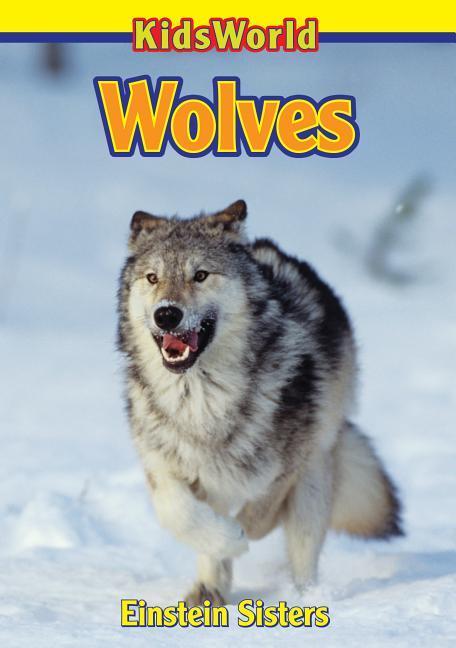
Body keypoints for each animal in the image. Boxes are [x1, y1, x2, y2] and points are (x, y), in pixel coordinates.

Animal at [118, 199, 402, 605]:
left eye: (200, 275)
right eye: (153, 278)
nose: (167, 313)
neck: (202, 399)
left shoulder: (288, 468)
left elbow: (259, 517)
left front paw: (238, 535)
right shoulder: (163, 464)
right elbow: (178, 513)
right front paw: (225, 541)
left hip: (315, 474)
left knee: (302, 550)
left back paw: (304, 599)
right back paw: (207, 593)